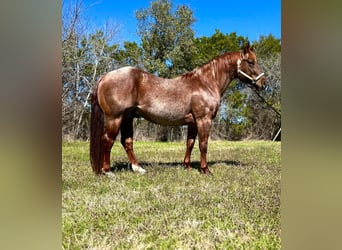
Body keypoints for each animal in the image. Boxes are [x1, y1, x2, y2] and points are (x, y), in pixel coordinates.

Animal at [89, 43, 266, 175]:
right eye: (251, 62)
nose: (263, 83)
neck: (206, 83)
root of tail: (105, 77)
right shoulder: (204, 120)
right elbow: (203, 144)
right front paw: (206, 170)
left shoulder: (193, 122)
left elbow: (190, 143)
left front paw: (187, 166)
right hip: (115, 118)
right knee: (107, 140)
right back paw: (107, 171)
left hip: (127, 118)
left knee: (127, 142)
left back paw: (138, 168)